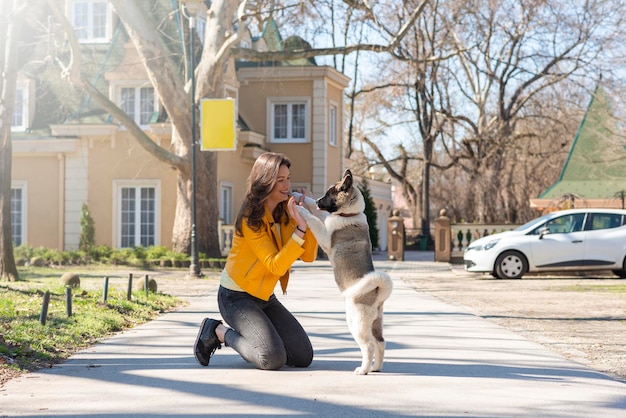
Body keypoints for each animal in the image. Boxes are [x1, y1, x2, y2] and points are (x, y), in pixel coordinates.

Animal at [294, 170, 392, 376]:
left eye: (330, 193)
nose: (318, 201)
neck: (349, 214)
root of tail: (377, 293)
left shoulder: (325, 237)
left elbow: (313, 219)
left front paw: (300, 209)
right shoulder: (326, 220)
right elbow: (315, 210)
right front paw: (298, 196)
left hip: (357, 323)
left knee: (368, 346)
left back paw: (363, 370)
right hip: (375, 323)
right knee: (380, 342)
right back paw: (376, 368)